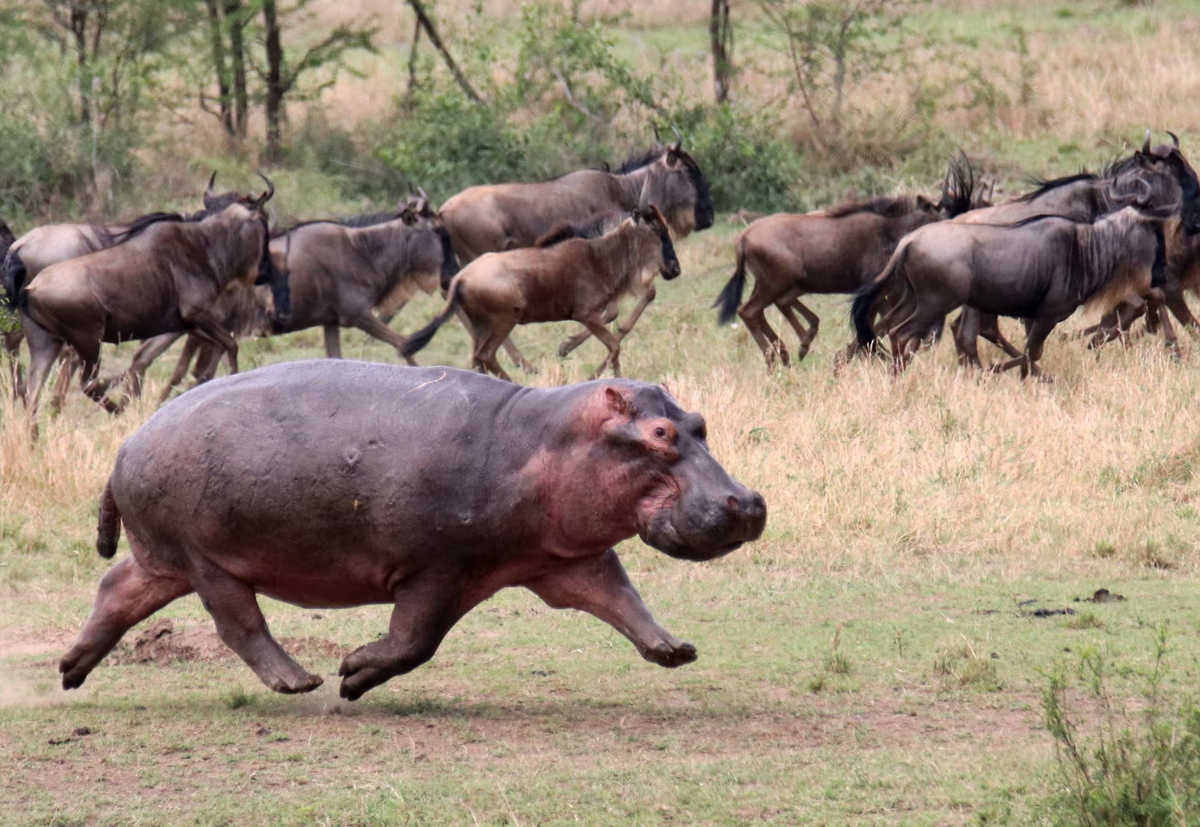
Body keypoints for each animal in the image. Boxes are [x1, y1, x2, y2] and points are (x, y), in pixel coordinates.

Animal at [60, 360, 763, 696]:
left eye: (698, 422)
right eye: (661, 433)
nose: (749, 502)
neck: (543, 439)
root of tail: (127, 443)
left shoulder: (565, 558)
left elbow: (621, 598)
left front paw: (674, 650)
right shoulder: (438, 569)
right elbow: (414, 641)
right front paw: (350, 673)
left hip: (165, 557)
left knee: (117, 590)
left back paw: (70, 670)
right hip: (208, 559)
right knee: (239, 624)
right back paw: (300, 681)